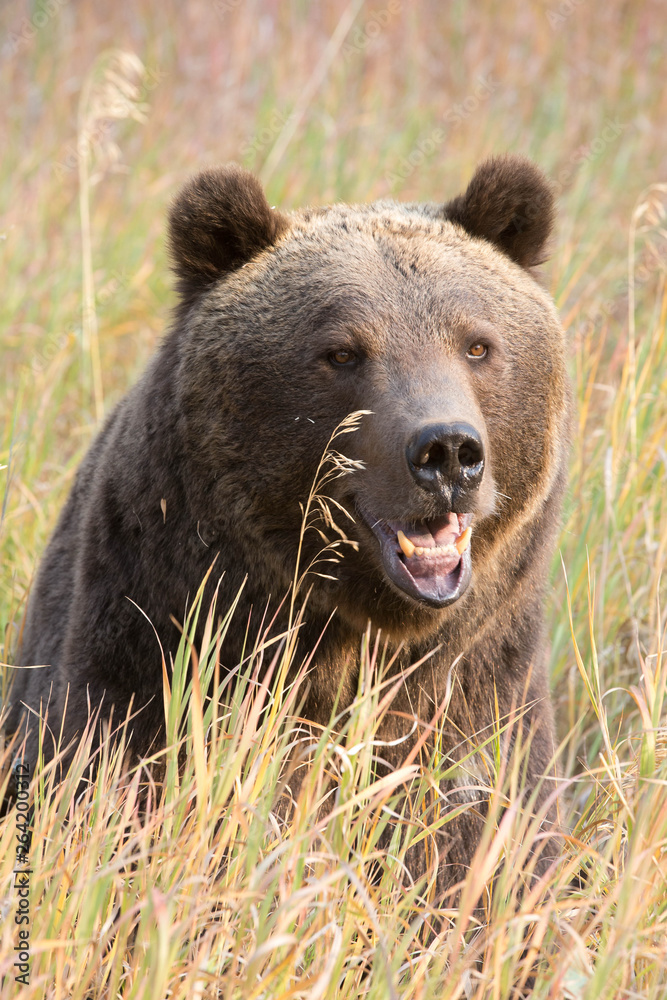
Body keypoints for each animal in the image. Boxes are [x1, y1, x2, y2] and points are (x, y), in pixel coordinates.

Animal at [5, 154, 572, 892]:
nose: (447, 450)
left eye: (477, 344)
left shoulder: (478, 702)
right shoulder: (151, 646)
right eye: (342, 351)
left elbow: (483, 856)